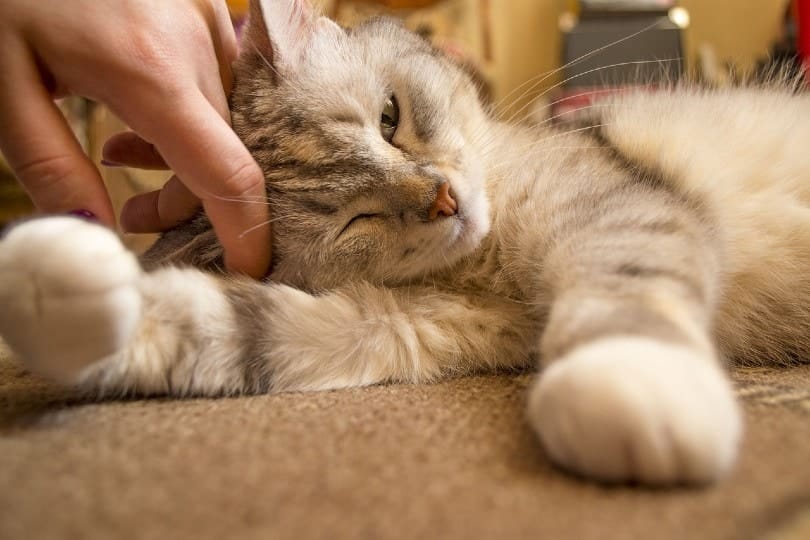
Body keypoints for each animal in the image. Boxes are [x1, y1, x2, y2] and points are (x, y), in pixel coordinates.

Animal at [1, 0, 808, 488]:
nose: (443, 199)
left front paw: (630, 384)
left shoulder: (613, 213)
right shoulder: (401, 324)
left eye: (389, 119)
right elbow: (223, 325)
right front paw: (47, 284)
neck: (489, 266)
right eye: (353, 221)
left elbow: (622, 295)